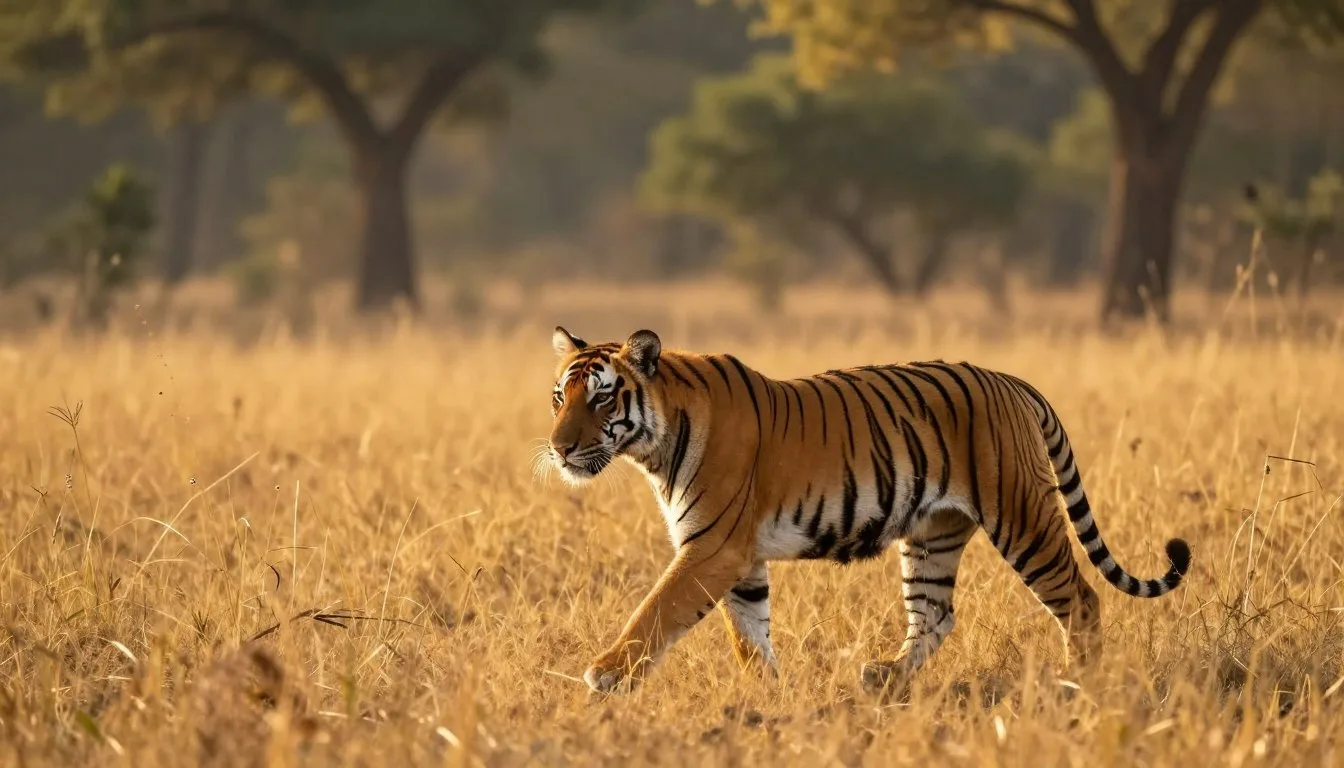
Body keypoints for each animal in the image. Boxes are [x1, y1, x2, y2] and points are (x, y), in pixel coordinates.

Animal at [545, 327, 1191, 696]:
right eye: (559, 398)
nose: (559, 448)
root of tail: (1012, 380)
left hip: (1023, 517)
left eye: (602, 397)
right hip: (932, 535)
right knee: (936, 615)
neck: (654, 448)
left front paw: (606, 673)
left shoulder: (713, 548)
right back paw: (883, 677)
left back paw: (1079, 685)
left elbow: (656, 610)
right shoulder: (740, 558)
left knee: (1079, 599)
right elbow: (749, 635)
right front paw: (769, 699)